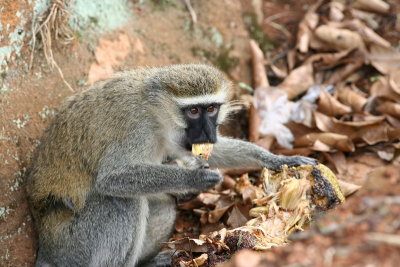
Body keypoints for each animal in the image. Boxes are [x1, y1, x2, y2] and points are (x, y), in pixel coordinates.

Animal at [26, 63, 318, 266]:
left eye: (211, 109)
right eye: (193, 111)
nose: (208, 132)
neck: (154, 110)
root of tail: (46, 248)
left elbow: (211, 152)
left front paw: (278, 159)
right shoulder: (137, 129)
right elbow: (112, 178)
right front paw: (193, 180)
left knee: (162, 205)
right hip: (72, 245)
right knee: (123, 202)